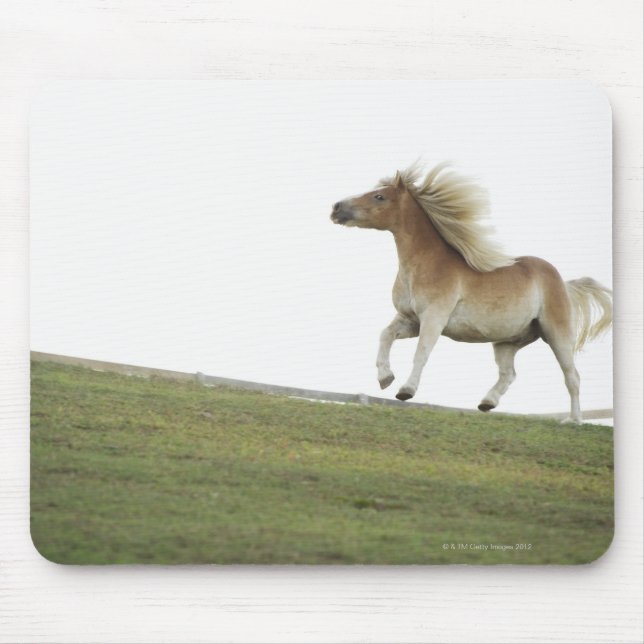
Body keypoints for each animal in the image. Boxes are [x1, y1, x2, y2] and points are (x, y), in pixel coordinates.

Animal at [330, 163, 612, 424]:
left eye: (379, 196)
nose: (336, 208)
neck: (425, 264)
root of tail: (563, 283)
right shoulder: (410, 319)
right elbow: (385, 335)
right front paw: (385, 378)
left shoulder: (434, 318)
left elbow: (421, 353)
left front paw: (405, 391)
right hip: (507, 341)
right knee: (508, 374)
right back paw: (487, 403)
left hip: (556, 334)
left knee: (572, 376)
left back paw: (574, 420)